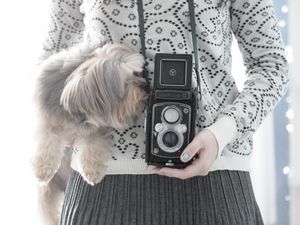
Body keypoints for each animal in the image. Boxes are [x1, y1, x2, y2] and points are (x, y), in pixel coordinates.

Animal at [31, 42, 148, 225]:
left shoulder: (97, 130)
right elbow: (47, 141)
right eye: (124, 82)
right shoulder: (47, 120)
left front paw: (92, 172)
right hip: (45, 195)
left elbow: (93, 147)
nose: (145, 85)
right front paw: (43, 169)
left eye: (136, 72)